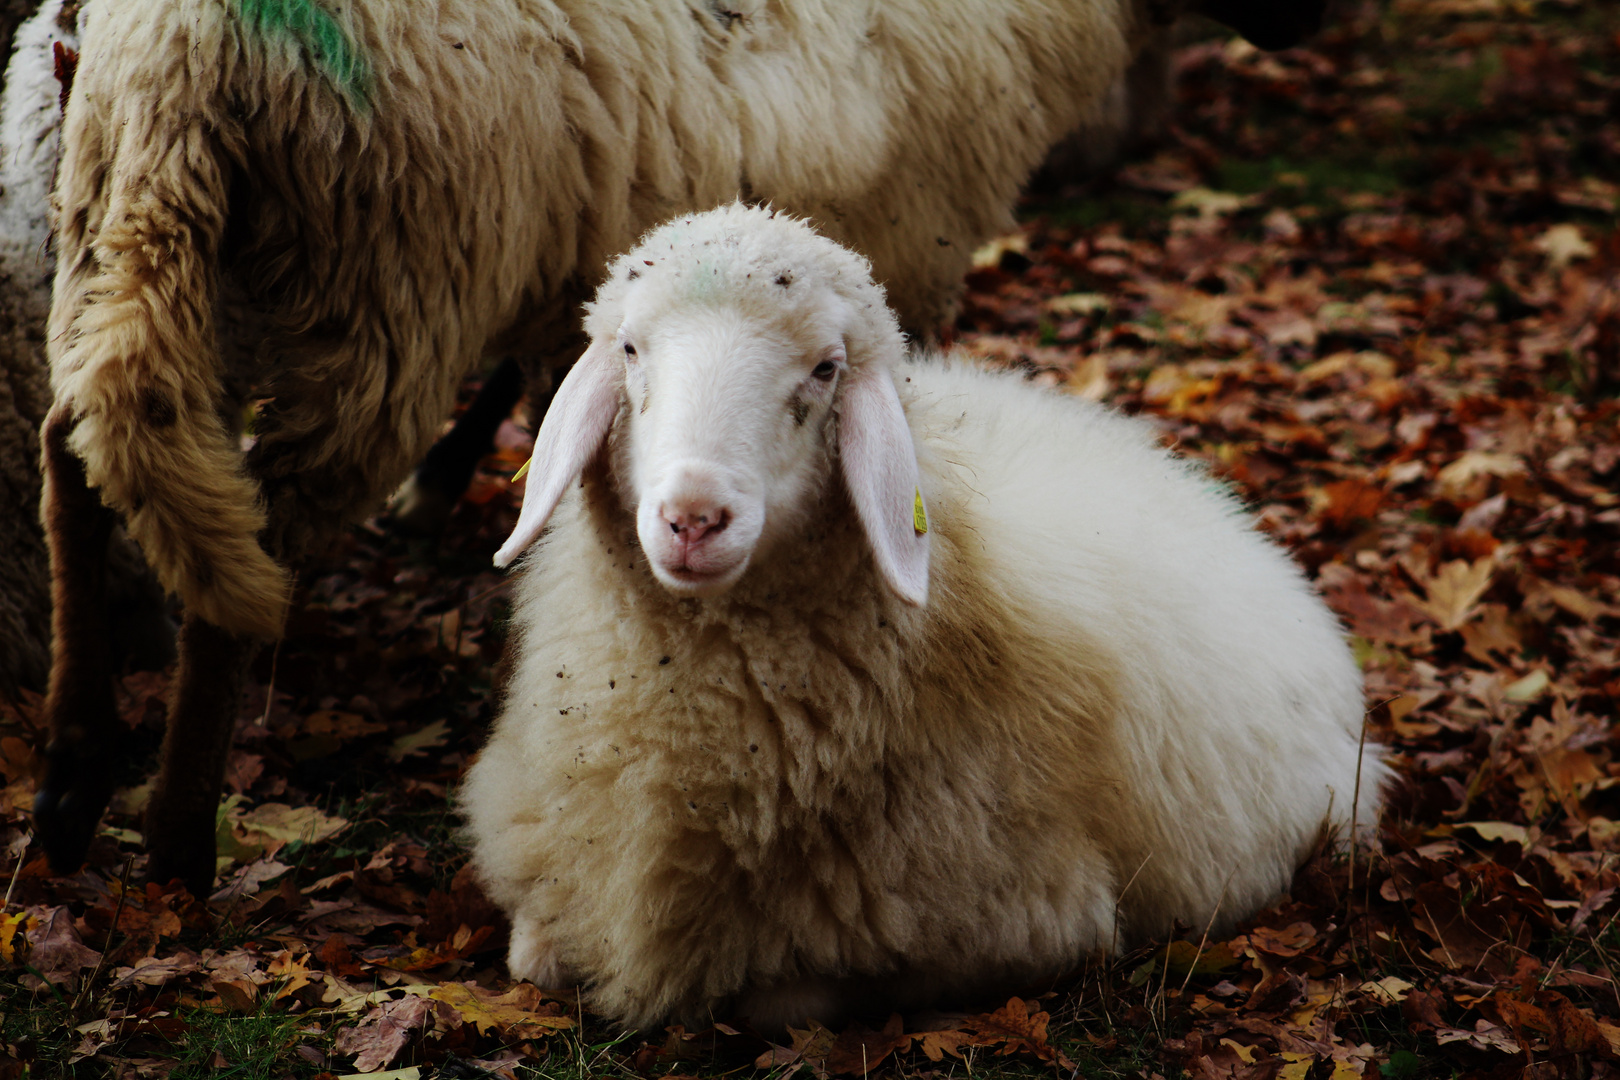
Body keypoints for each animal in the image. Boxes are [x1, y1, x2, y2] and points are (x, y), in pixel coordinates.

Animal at [41, 0, 1328, 893]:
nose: (1306, 26)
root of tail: (180, 53)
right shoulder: (891, 250)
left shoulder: (587, 245)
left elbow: (549, 370)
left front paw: (454, 484)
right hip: (387, 277)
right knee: (247, 541)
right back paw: (176, 840)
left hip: (130, 228)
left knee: (79, 456)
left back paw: (73, 772)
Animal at [460, 207, 1393, 1036]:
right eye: (628, 348)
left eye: (826, 369)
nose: (694, 516)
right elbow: (530, 955)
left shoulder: (1029, 923)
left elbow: (786, 999)